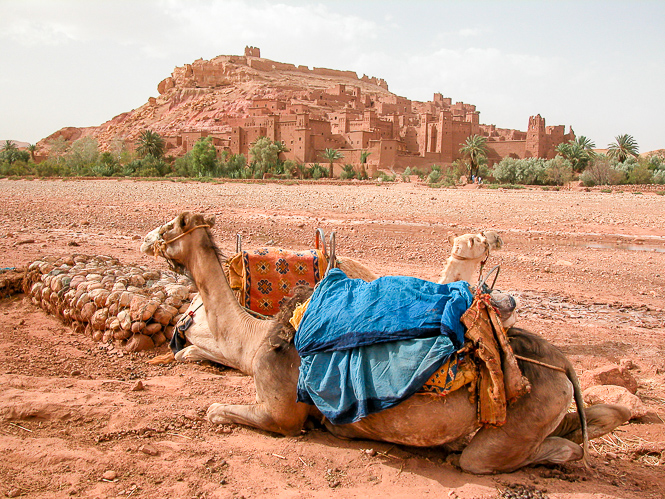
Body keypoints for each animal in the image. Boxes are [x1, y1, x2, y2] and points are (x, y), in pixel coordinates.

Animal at [139, 212, 628, 476]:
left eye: (170, 226)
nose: (146, 240)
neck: (253, 337)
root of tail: (564, 364)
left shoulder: (281, 415)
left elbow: (214, 410)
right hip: (550, 405)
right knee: (594, 420)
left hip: (509, 432)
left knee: (543, 451)